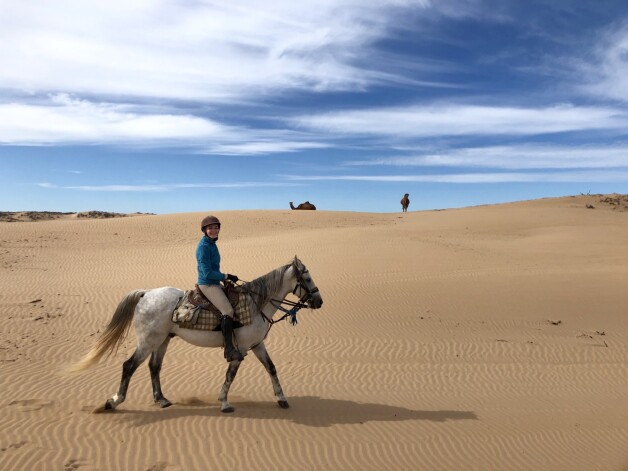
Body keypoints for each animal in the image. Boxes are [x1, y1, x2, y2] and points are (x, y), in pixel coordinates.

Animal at [71, 256, 322, 414]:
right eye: (308, 278)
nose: (319, 302)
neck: (255, 303)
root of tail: (146, 294)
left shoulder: (257, 345)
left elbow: (271, 368)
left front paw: (281, 399)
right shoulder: (240, 350)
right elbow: (230, 375)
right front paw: (224, 403)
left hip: (162, 340)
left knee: (154, 367)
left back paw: (161, 399)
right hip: (148, 341)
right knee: (129, 366)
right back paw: (114, 402)